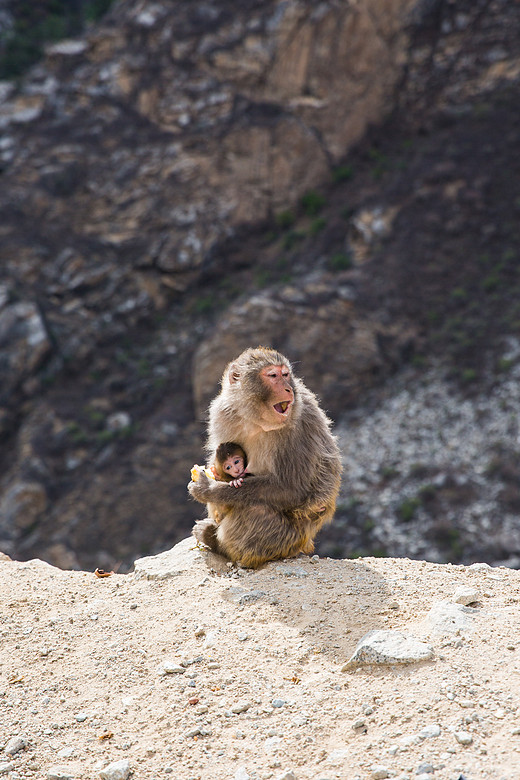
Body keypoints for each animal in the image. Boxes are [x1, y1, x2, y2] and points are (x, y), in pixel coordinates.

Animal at [189, 348, 344, 568]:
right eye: (273, 376)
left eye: (285, 374)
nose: (288, 389)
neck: (257, 421)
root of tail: (306, 543)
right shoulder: (222, 412)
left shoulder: (298, 427)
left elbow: (292, 490)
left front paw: (209, 489)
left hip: (289, 540)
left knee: (255, 510)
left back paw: (215, 542)